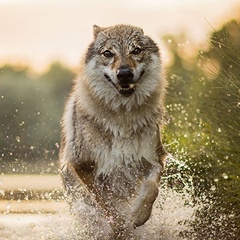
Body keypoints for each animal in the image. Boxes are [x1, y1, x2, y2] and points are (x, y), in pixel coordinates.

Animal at [58, 23, 167, 238]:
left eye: (136, 50)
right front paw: (119, 227)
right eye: (108, 53)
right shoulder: (83, 166)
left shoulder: (154, 158)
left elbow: (152, 188)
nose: (124, 73)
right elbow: (106, 203)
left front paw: (139, 215)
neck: (122, 119)